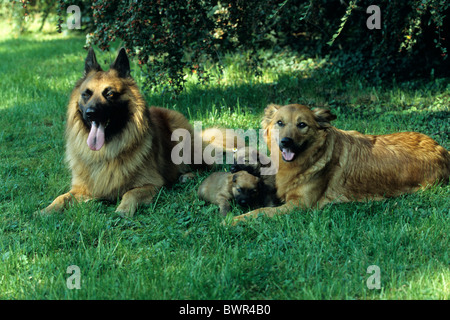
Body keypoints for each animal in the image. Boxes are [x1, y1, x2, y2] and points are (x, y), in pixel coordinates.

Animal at [232, 104, 450, 224]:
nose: (286, 142)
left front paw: (234, 220)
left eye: (302, 125)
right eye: (280, 123)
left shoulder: (300, 205)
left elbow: (261, 212)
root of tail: (442, 150)